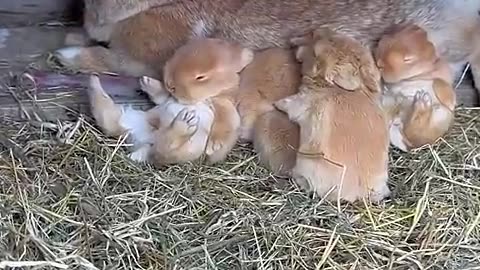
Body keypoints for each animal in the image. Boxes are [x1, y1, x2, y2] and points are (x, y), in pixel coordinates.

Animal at [87, 38, 253, 165]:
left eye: (201, 77)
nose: (169, 83)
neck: (204, 98)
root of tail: (145, 142)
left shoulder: (224, 106)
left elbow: (225, 124)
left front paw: (213, 147)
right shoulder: (167, 98)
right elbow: (161, 96)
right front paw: (146, 81)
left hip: (184, 148)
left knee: (165, 149)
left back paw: (185, 122)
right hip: (127, 118)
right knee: (107, 118)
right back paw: (93, 81)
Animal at [274, 29, 390, 202]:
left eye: (316, 53)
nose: (317, 30)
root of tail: (359, 193)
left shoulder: (301, 103)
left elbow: (288, 104)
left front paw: (275, 103)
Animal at [376, 24, 458, 152]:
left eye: (408, 59)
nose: (379, 63)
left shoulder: (442, 78)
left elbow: (439, 82)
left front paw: (451, 103)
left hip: (439, 117)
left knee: (417, 134)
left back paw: (422, 102)